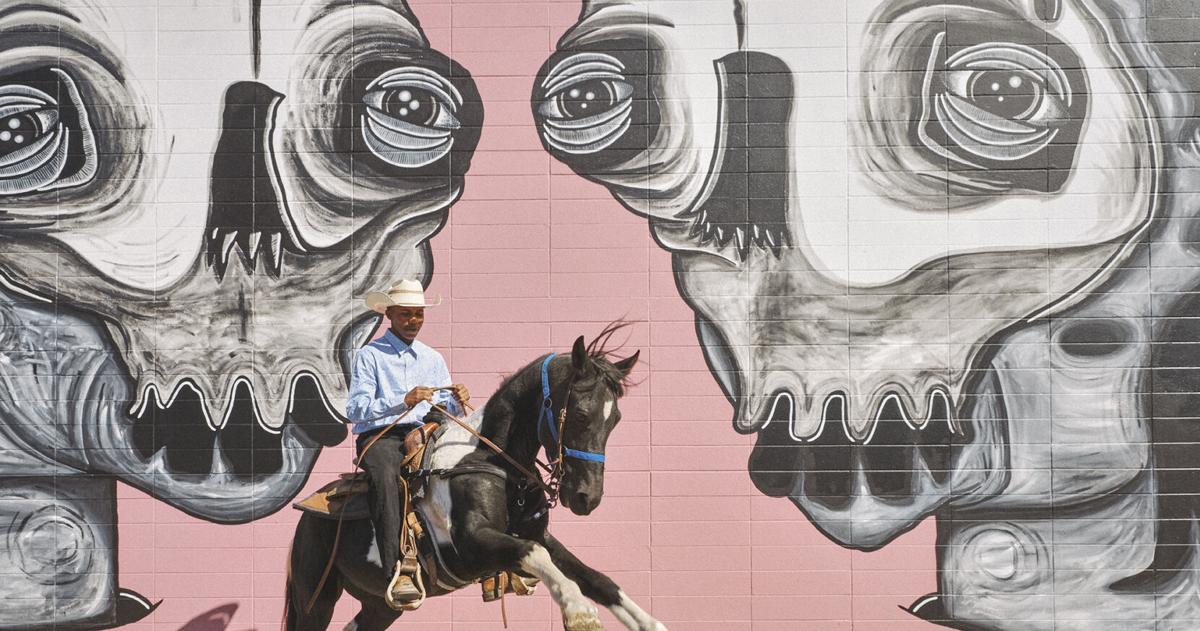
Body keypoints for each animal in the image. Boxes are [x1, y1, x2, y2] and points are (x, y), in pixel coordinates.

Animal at [286, 331, 672, 631]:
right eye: (579, 414)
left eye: (615, 419)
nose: (586, 497)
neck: (492, 461)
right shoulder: (470, 543)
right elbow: (533, 553)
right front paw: (579, 611)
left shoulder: (538, 534)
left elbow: (596, 579)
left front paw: (648, 621)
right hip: (314, 597)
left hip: (381, 605)